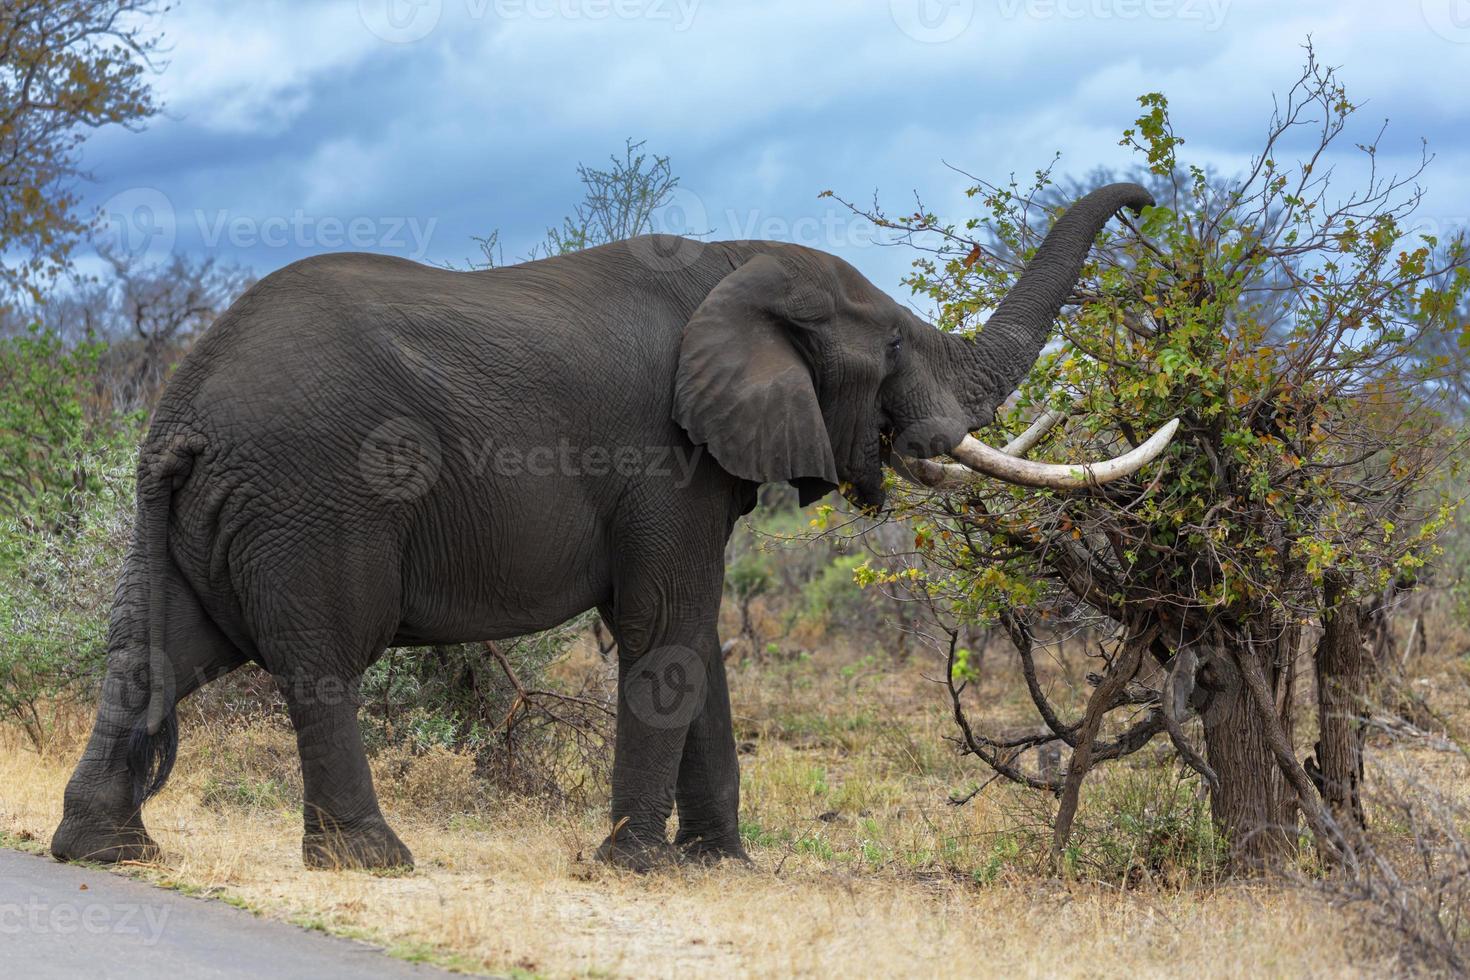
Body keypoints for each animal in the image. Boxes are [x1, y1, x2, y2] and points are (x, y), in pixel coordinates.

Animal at [51, 183, 1164, 875]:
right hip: (313, 498)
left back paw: (107, 851)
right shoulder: (665, 456)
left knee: (156, 650)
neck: (738, 265)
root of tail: (183, 405)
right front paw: (636, 865)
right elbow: (663, 627)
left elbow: (696, 635)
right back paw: (374, 860)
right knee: (323, 660)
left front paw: (720, 864)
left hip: (200, 509)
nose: (1149, 201)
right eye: (891, 344)